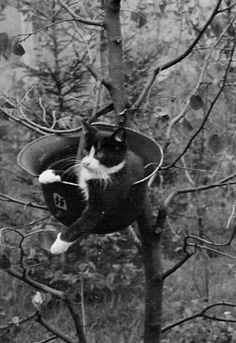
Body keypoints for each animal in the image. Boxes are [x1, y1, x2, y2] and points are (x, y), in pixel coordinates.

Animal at [38, 122, 144, 254]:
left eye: (99, 154)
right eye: (84, 151)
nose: (85, 163)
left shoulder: (107, 195)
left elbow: (84, 221)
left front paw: (59, 244)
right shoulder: (81, 175)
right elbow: (72, 175)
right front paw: (48, 174)